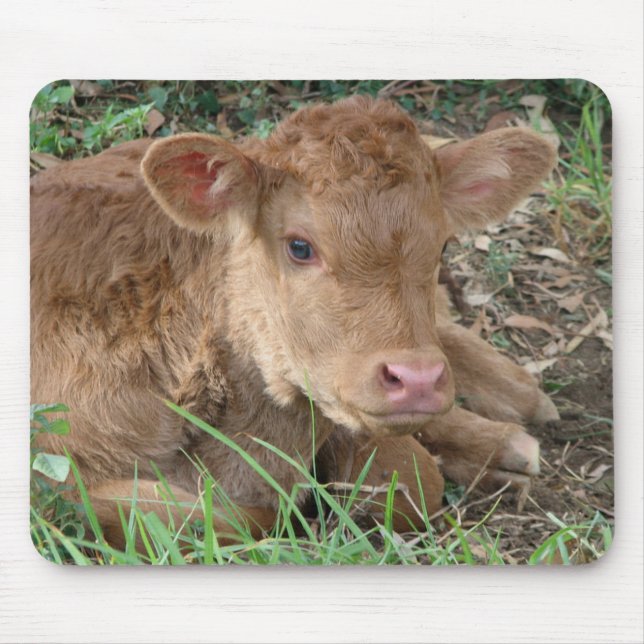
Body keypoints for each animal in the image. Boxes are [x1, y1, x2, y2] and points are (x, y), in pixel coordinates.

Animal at [30, 95, 558, 546]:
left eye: (443, 245)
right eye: (300, 247)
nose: (418, 380)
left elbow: (414, 478)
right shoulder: (57, 476)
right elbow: (221, 519)